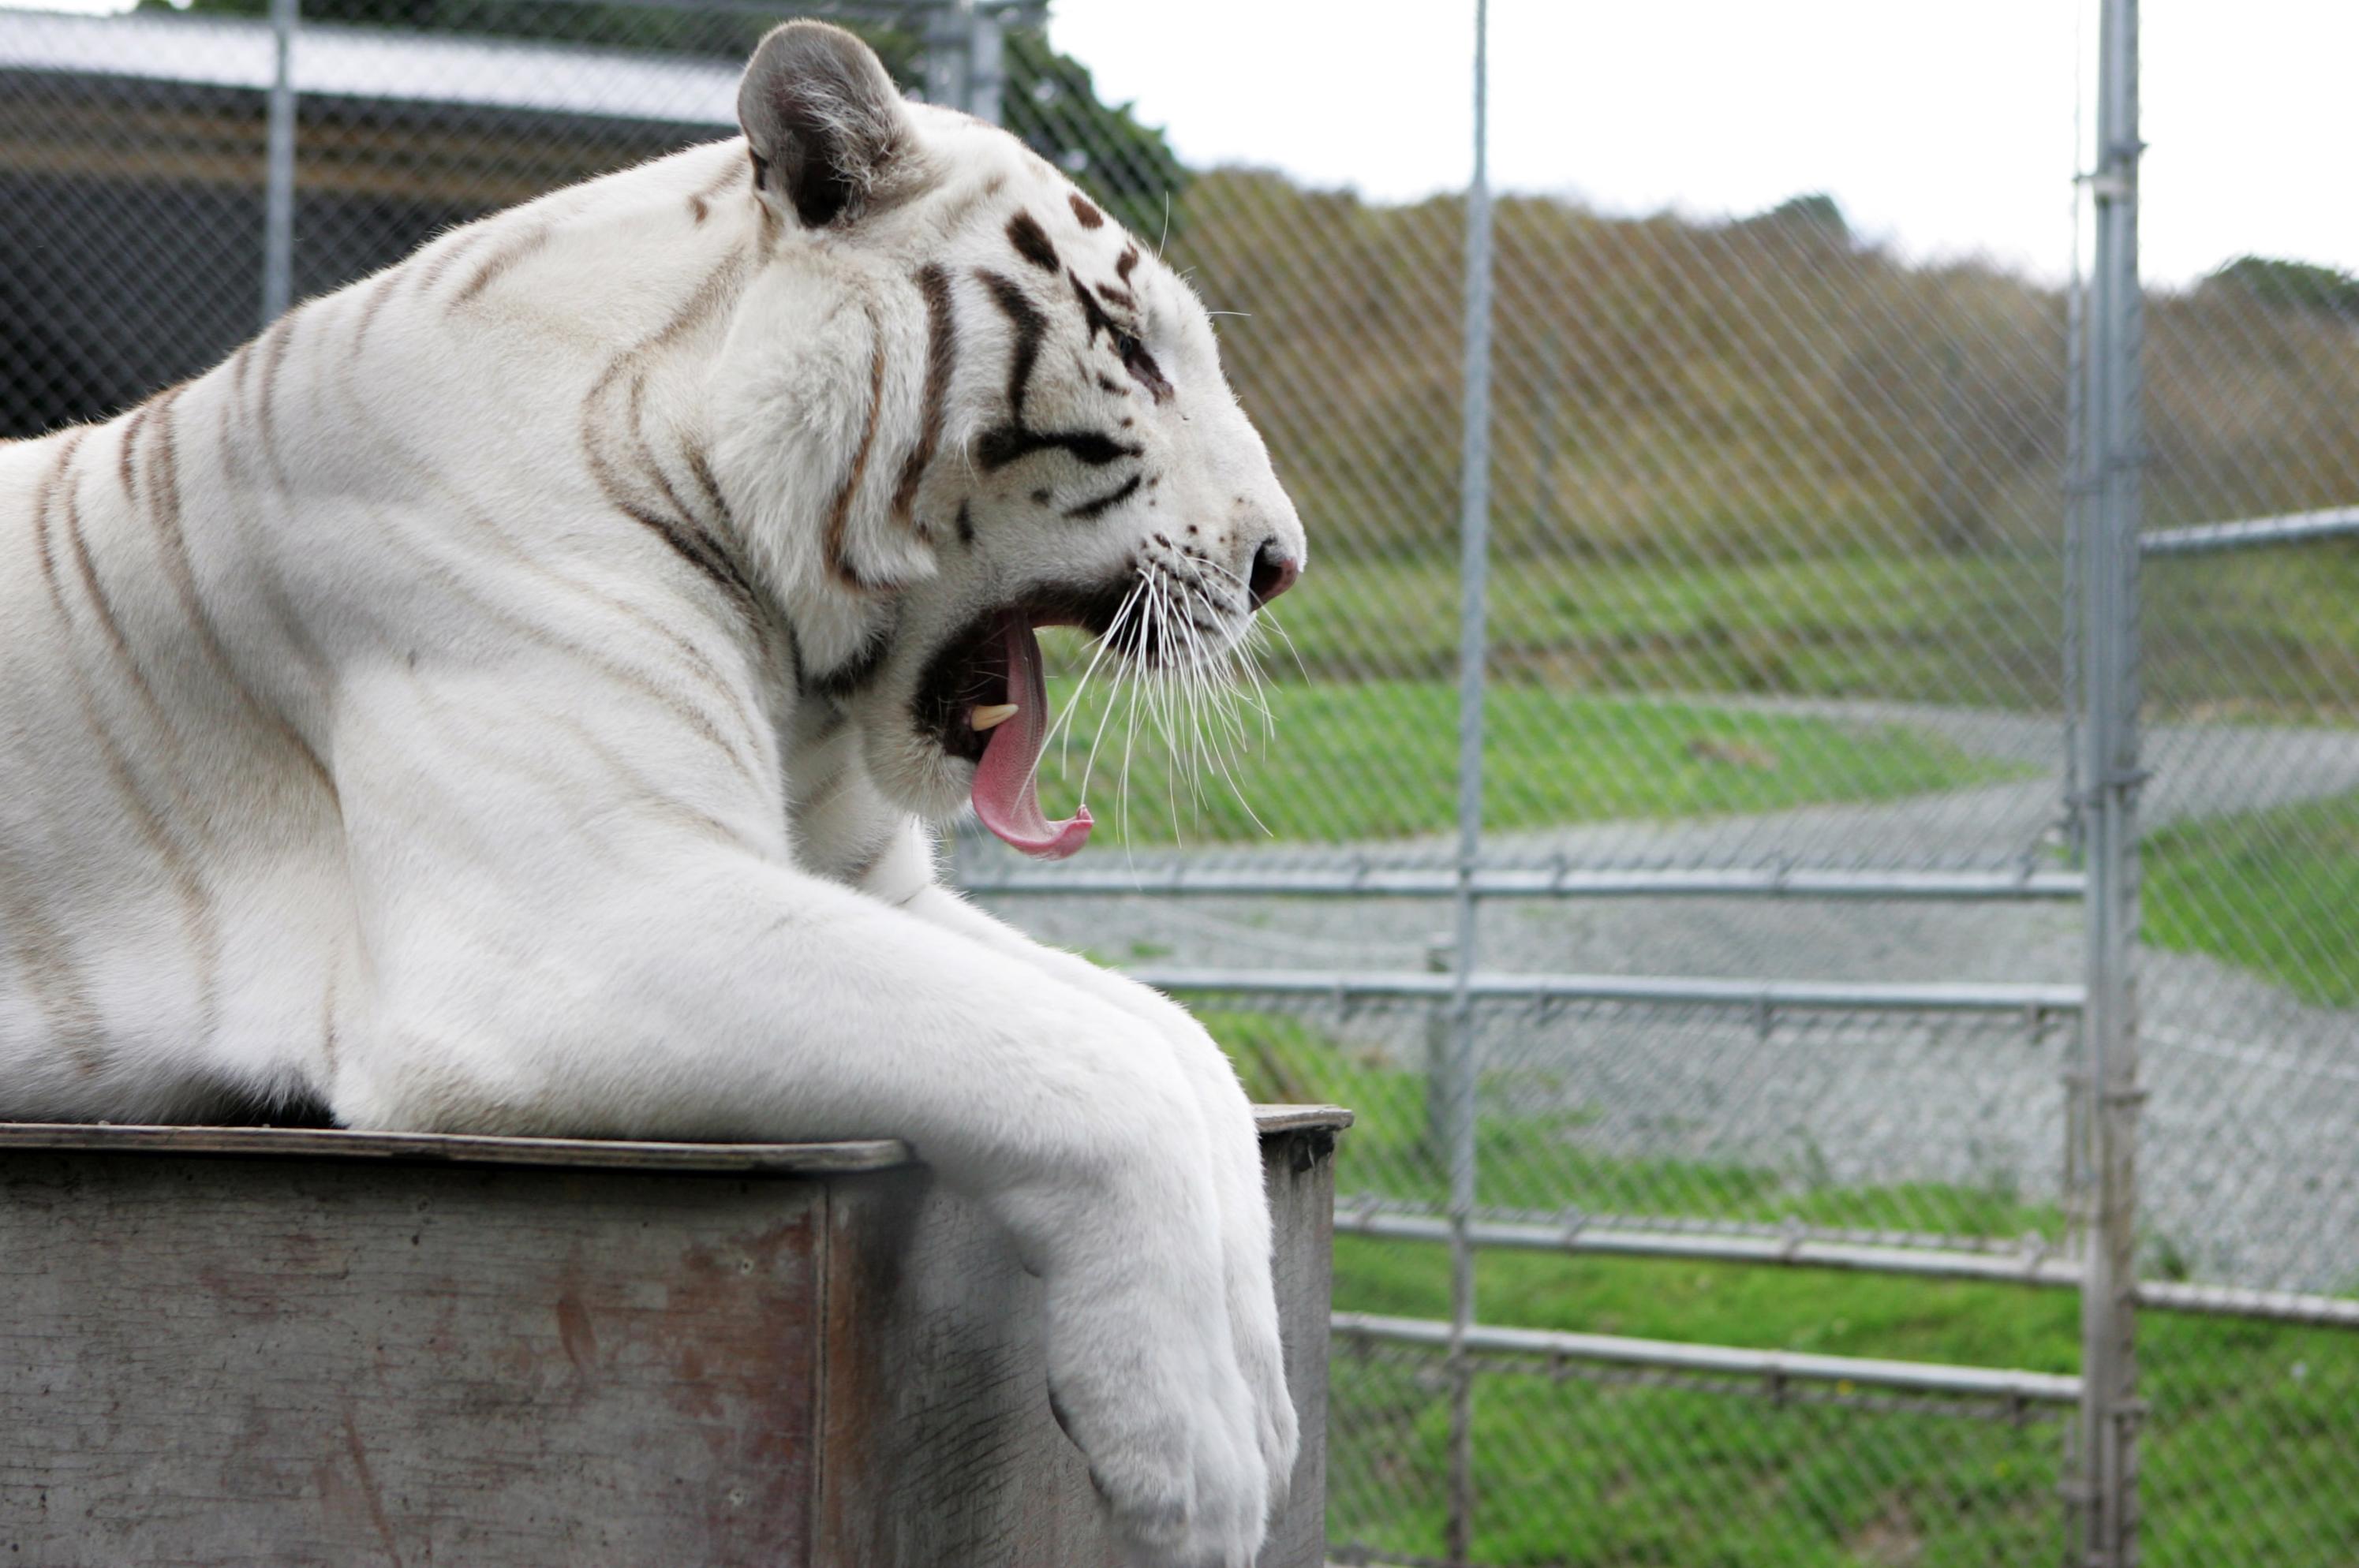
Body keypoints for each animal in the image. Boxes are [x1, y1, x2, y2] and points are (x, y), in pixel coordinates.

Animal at [0, 24, 1311, 1566]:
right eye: (1137, 352)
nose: (1283, 563)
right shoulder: (575, 917)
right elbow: (1087, 1061)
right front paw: (1194, 1451)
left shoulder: (864, 889)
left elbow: (1168, 1038)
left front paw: (1262, 1396)